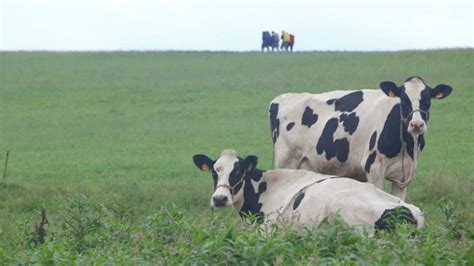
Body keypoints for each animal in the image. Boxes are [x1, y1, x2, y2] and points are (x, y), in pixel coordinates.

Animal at [270, 77, 452, 200]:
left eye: (427, 100)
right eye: (403, 100)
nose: (416, 124)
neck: (406, 145)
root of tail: (280, 98)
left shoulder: (404, 174)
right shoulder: (374, 167)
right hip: (286, 162)